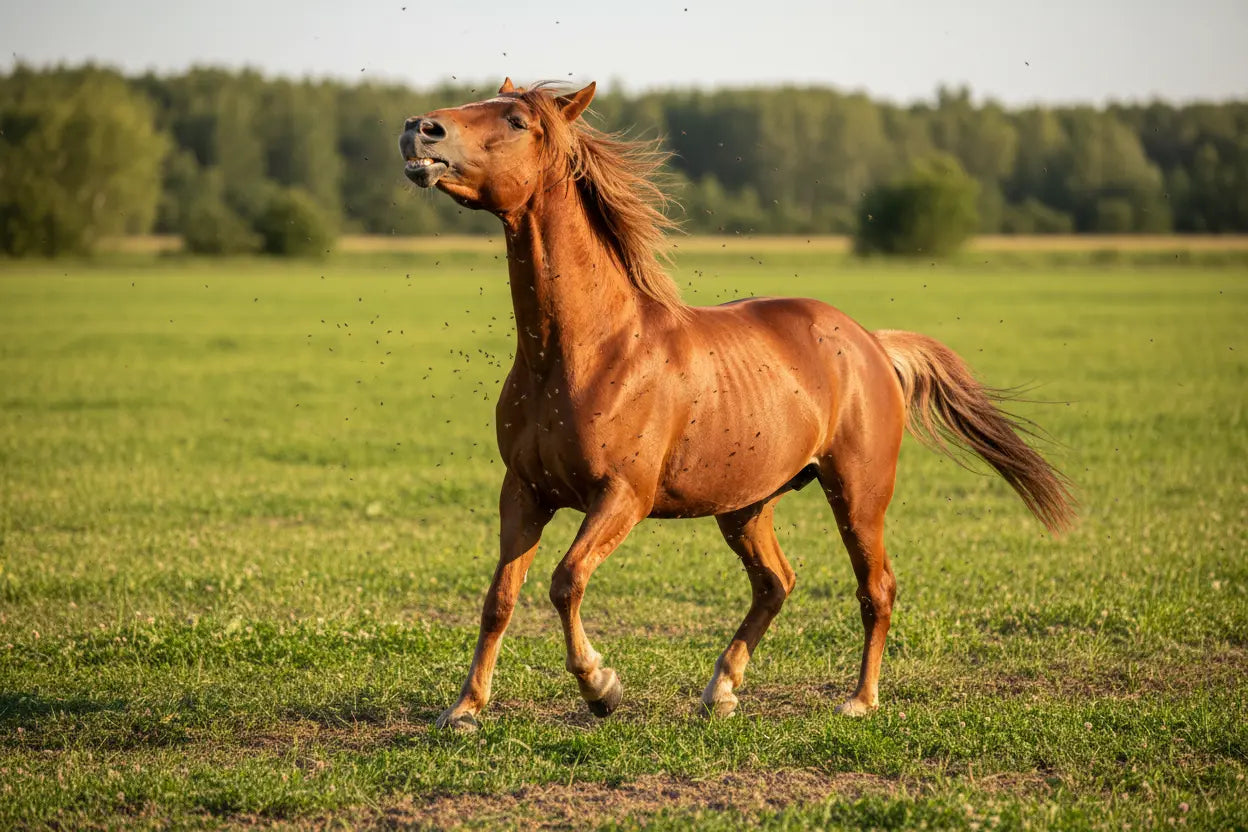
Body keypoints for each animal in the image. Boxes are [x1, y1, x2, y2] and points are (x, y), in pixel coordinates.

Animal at [398, 79, 1075, 731]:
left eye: (516, 121)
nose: (419, 128)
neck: (587, 352)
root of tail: (872, 343)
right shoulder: (524, 491)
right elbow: (500, 598)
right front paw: (464, 709)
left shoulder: (622, 496)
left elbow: (566, 582)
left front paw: (601, 687)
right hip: (747, 505)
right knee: (776, 583)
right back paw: (721, 690)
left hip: (857, 493)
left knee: (875, 587)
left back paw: (859, 700)